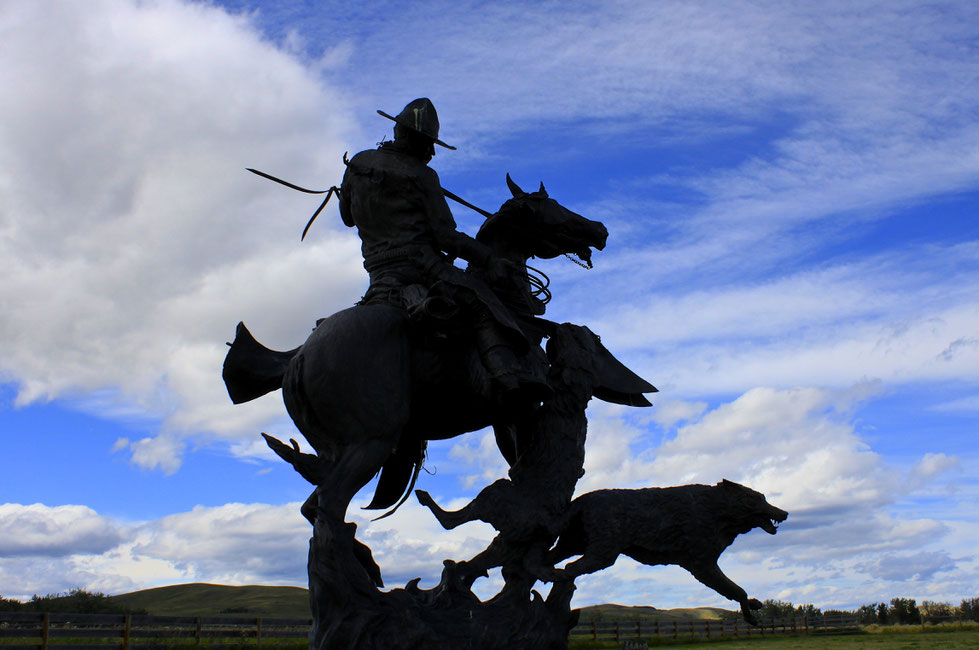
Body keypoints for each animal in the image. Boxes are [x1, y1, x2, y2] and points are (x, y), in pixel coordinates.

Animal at [223, 175, 648, 520]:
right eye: (549, 207)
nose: (598, 229)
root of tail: (299, 357)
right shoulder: (524, 405)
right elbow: (525, 465)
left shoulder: (503, 418)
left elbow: (515, 463)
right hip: (371, 442)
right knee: (328, 503)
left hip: (341, 447)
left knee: (314, 504)